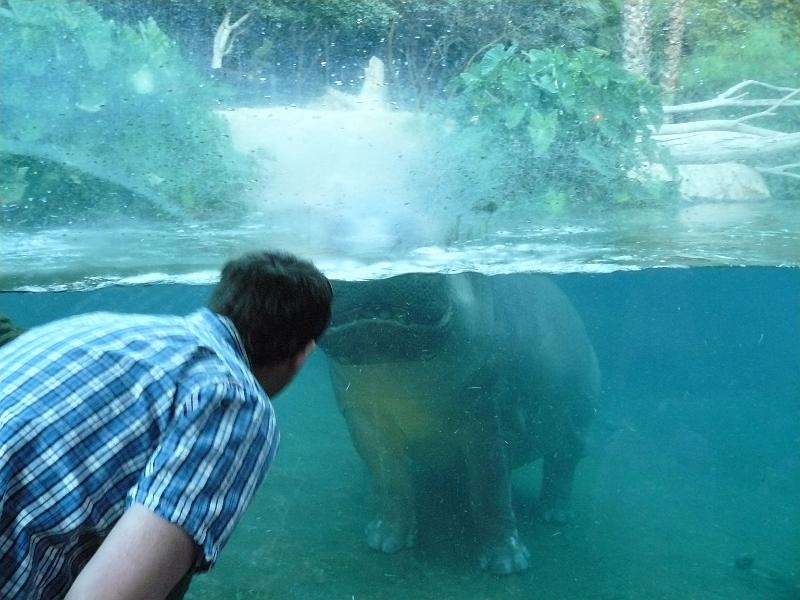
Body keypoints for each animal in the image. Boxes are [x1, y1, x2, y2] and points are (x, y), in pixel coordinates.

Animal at [320, 271, 599, 575]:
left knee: (561, 465)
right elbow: (391, 481)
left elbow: (491, 486)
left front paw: (507, 564)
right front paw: (385, 541)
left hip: (580, 423)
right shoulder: (364, 417)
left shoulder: (485, 415)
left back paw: (554, 515)